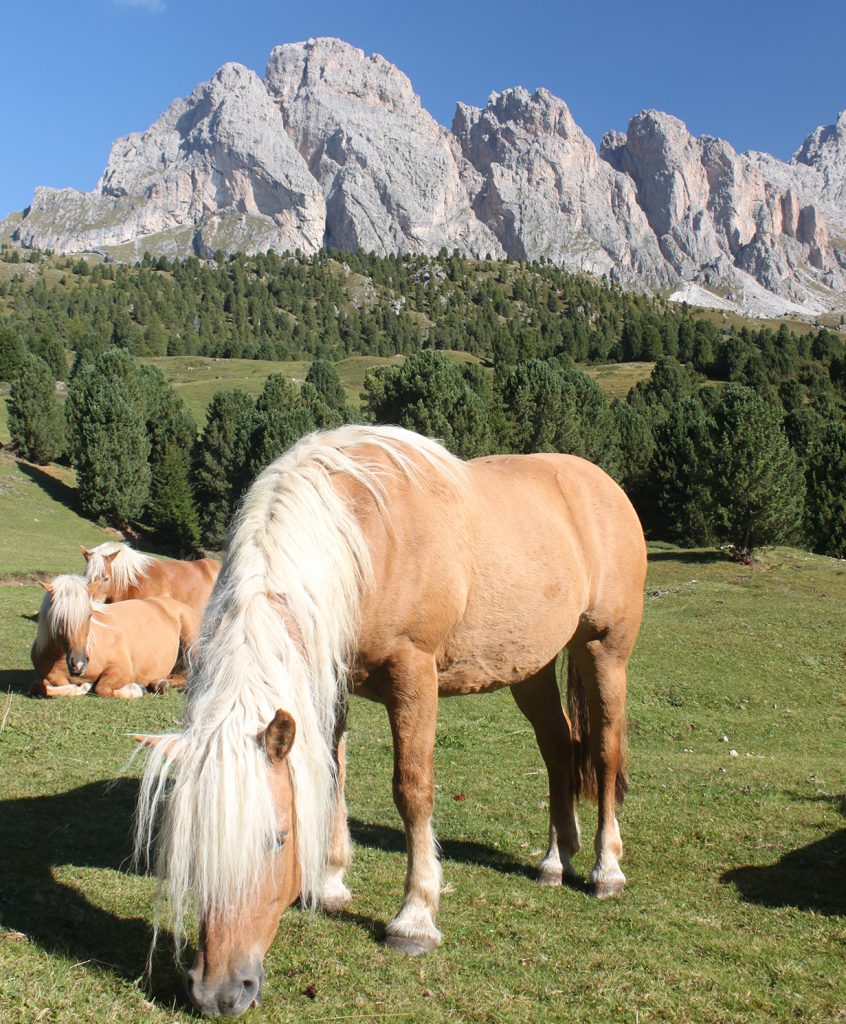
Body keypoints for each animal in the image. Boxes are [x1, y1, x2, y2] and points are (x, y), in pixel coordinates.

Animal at [30, 573, 202, 700]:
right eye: (59, 618)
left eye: (89, 615)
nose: (78, 664)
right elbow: (40, 687)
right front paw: (82, 686)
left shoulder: (121, 670)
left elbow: (102, 688)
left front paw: (136, 689)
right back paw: (161, 683)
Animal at [135, 423, 643, 1015]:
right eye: (191, 840)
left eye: (277, 840)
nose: (216, 992)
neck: (361, 537)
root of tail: (601, 483)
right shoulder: (333, 676)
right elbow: (332, 775)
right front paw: (331, 884)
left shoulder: (413, 674)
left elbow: (413, 790)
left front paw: (415, 919)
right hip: (531, 667)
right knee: (558, 749)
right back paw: (554, 861)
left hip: (604, 652)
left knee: (604, 752)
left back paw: (606, 869)